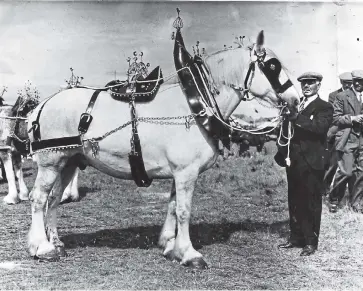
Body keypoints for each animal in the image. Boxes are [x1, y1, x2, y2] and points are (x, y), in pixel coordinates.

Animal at [27, 30, 300, 270]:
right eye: (273, 65)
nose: (296, 100)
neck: (195, 105)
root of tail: (42, 105)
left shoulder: (180, 173)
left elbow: (172, 205)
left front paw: (170, 246)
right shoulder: (186, 172)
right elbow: (184, 210)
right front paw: (189, 253)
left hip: (68, 161)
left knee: (54, 199)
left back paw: (56, 243)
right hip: (51, 163)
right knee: (39, 198)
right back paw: (42, 247)